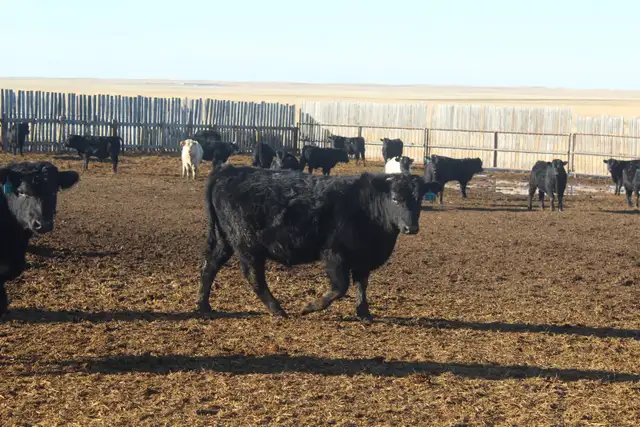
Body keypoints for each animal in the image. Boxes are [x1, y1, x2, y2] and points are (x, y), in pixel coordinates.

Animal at [198, 165, 440, 322]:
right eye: (396, 198)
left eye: (419, 199)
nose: (411, 228)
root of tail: (228, 170)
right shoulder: (334, 254)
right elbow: (340, 287)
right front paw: (309, 307)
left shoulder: (362, 257)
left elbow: (362, 284)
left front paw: (364, 313)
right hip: (247, 244)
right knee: (253, 276)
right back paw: (277, 309)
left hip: (224, 239)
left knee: (209, 267)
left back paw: (203, 305)